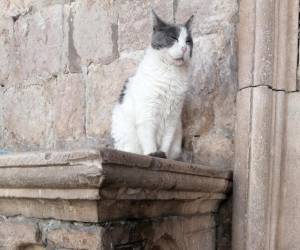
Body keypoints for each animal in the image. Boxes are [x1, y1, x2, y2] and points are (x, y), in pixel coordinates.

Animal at [111, 10, 193, 159]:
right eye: (173, 38)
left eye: (188, 41)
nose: (184, 48)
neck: (171, 73)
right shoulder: (147, 113)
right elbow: (149, 139)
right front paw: (152, 153)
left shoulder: (173, 117)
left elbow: (166, 141)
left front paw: (163, 155)